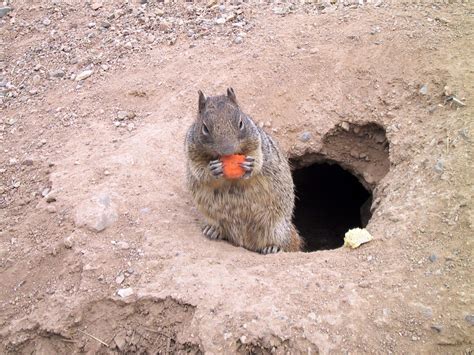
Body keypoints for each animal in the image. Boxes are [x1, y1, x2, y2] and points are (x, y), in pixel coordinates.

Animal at [183, 87, 302, 254]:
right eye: (205, 128)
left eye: (240, 123)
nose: (228, 151)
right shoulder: (192, 152)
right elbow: (198, 169)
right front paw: (213, 169)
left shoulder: (257, 142)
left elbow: (258, 158)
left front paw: (250, 166)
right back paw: (213, 230)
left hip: (277, 228)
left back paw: (272, 247)